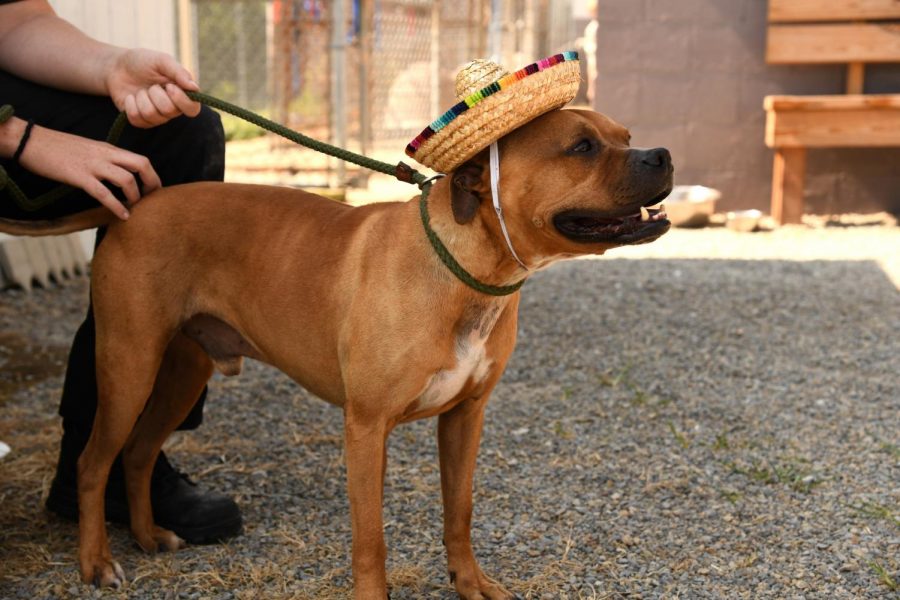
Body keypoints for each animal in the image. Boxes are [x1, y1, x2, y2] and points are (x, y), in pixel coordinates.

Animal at [0, 106, 668, 596]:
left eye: (626, 137)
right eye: (581, 147)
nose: (662, 155)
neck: (464, 272)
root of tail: (137, 204)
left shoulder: (464, 419)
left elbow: (460, 512)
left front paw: (471, 583)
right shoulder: (366, 428)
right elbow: (370, 536)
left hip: (181, 373)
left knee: (138, 454)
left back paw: (147, 536)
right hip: (129, 365)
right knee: (94, 462)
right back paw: (97, 562)